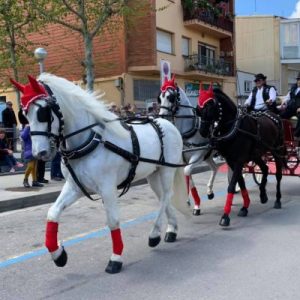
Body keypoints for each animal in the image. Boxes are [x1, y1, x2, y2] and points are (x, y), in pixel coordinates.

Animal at [12, 73, 190, 274]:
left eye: (43, 111)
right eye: (24, 114)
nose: (39, 153)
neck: (89, 141)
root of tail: (168, 124)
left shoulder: (107, 188)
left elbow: (112, 221)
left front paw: (116, 258)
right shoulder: (75, 187)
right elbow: (53, 213)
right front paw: (58, 254)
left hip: (167, 169)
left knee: (167, 195)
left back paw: (154, 234)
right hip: (153, 174)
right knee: (163, 198)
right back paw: (171, 229)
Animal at [158, 80, 219, 216]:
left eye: (170, 97)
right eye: (159, 98)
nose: (162, 117)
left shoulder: (197, 156)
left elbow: (187, 172)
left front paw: (196, 204)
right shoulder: (184, 159)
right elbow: (188, 177)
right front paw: (191, 202)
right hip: (208, 156)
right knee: (215, 168)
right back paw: (210, 191)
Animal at [199, 85, 286, 226]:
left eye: (210, 106)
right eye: (199, 108)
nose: (202, 131)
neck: (234, 128)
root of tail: (274, 115)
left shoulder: (239, 160)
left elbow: (232, 185)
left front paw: (225, 216)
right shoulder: (231, 161)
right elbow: (240, 182)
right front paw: (245, 206)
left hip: (276, 150)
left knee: (278, 175)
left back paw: (277, 200)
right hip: (256, 154)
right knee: (265, 168)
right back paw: (263, 195)